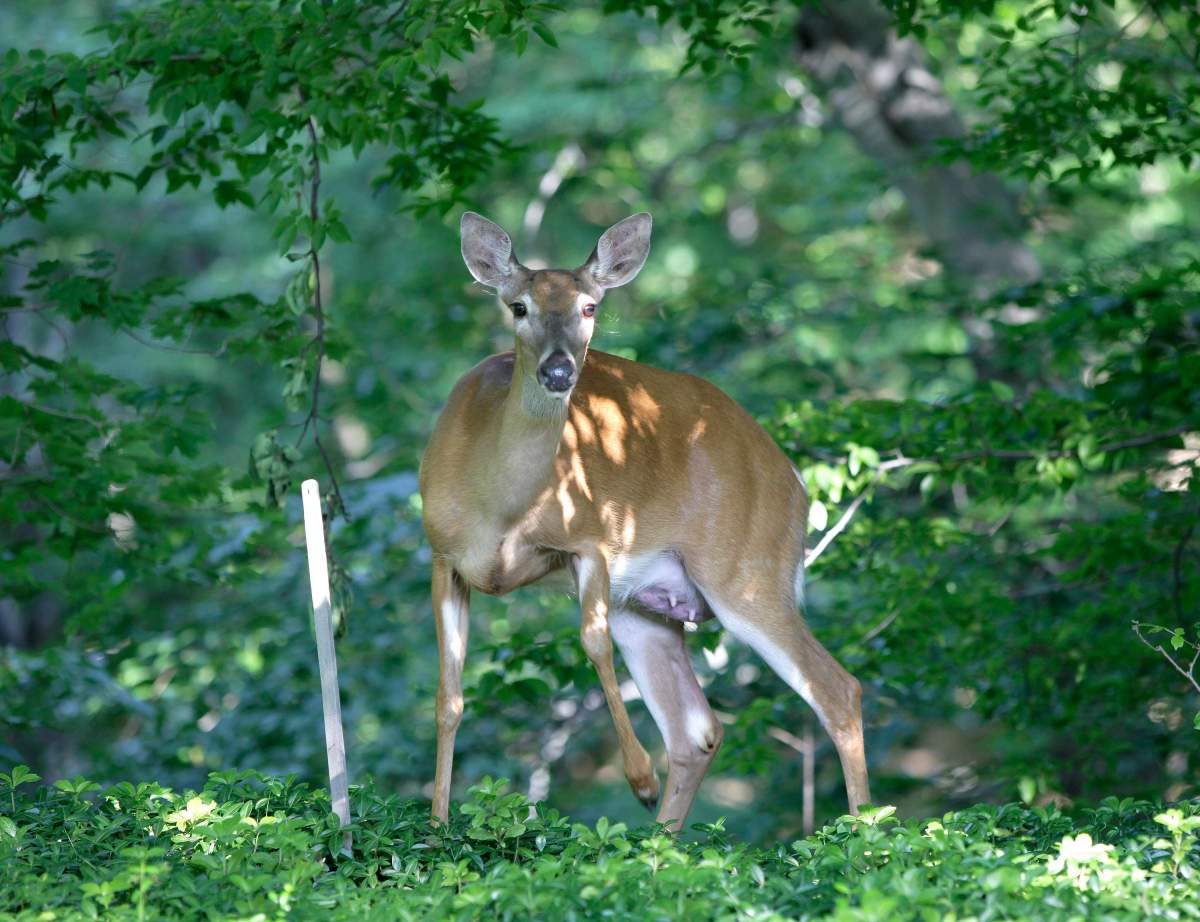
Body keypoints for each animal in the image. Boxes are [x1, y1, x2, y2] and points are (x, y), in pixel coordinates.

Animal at [418, 210, 871, 831]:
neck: (500, 507)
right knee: (697, 729)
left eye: (590, 307)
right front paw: (437, 826)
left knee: (837, 690)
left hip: (747, 569)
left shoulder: (590, 538)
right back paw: (662, 841)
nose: (558, 371)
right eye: (518, 306)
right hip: (653, 602)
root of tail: (794, 480)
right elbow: (449, 697)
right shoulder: (443, 555)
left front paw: (639, 778)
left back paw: (867, 832)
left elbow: (592, 643)